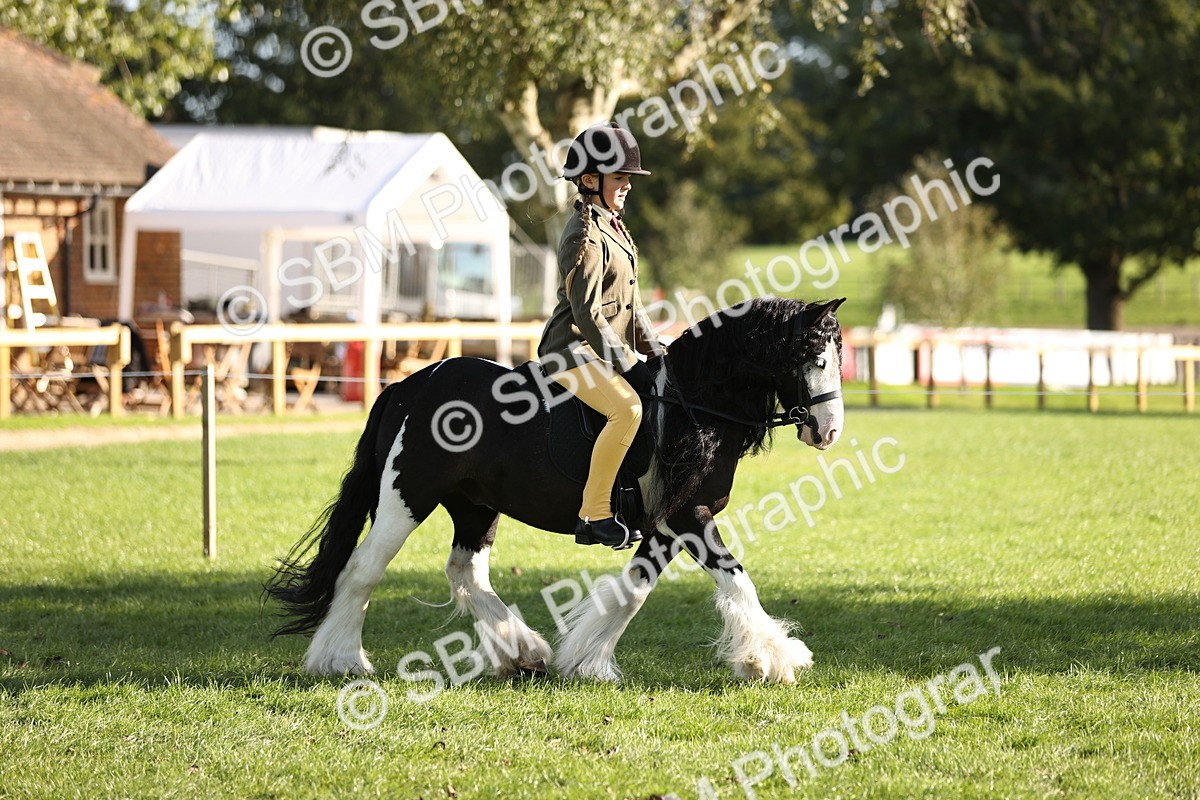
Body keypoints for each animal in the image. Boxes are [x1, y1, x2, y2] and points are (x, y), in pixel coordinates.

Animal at [265, 296, 846, 684]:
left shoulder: (667, 524)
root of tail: (411, 385)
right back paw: (340, 660)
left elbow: (632, 591)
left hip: (475, 506)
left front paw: (586, 662)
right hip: (407, 497)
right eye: (815, 358)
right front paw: (771, 658)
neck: (691, 403)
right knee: (363, 570)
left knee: (464, 572)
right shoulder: (690, 516)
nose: (828, 431)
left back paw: (522, 652)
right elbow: (737, 580)